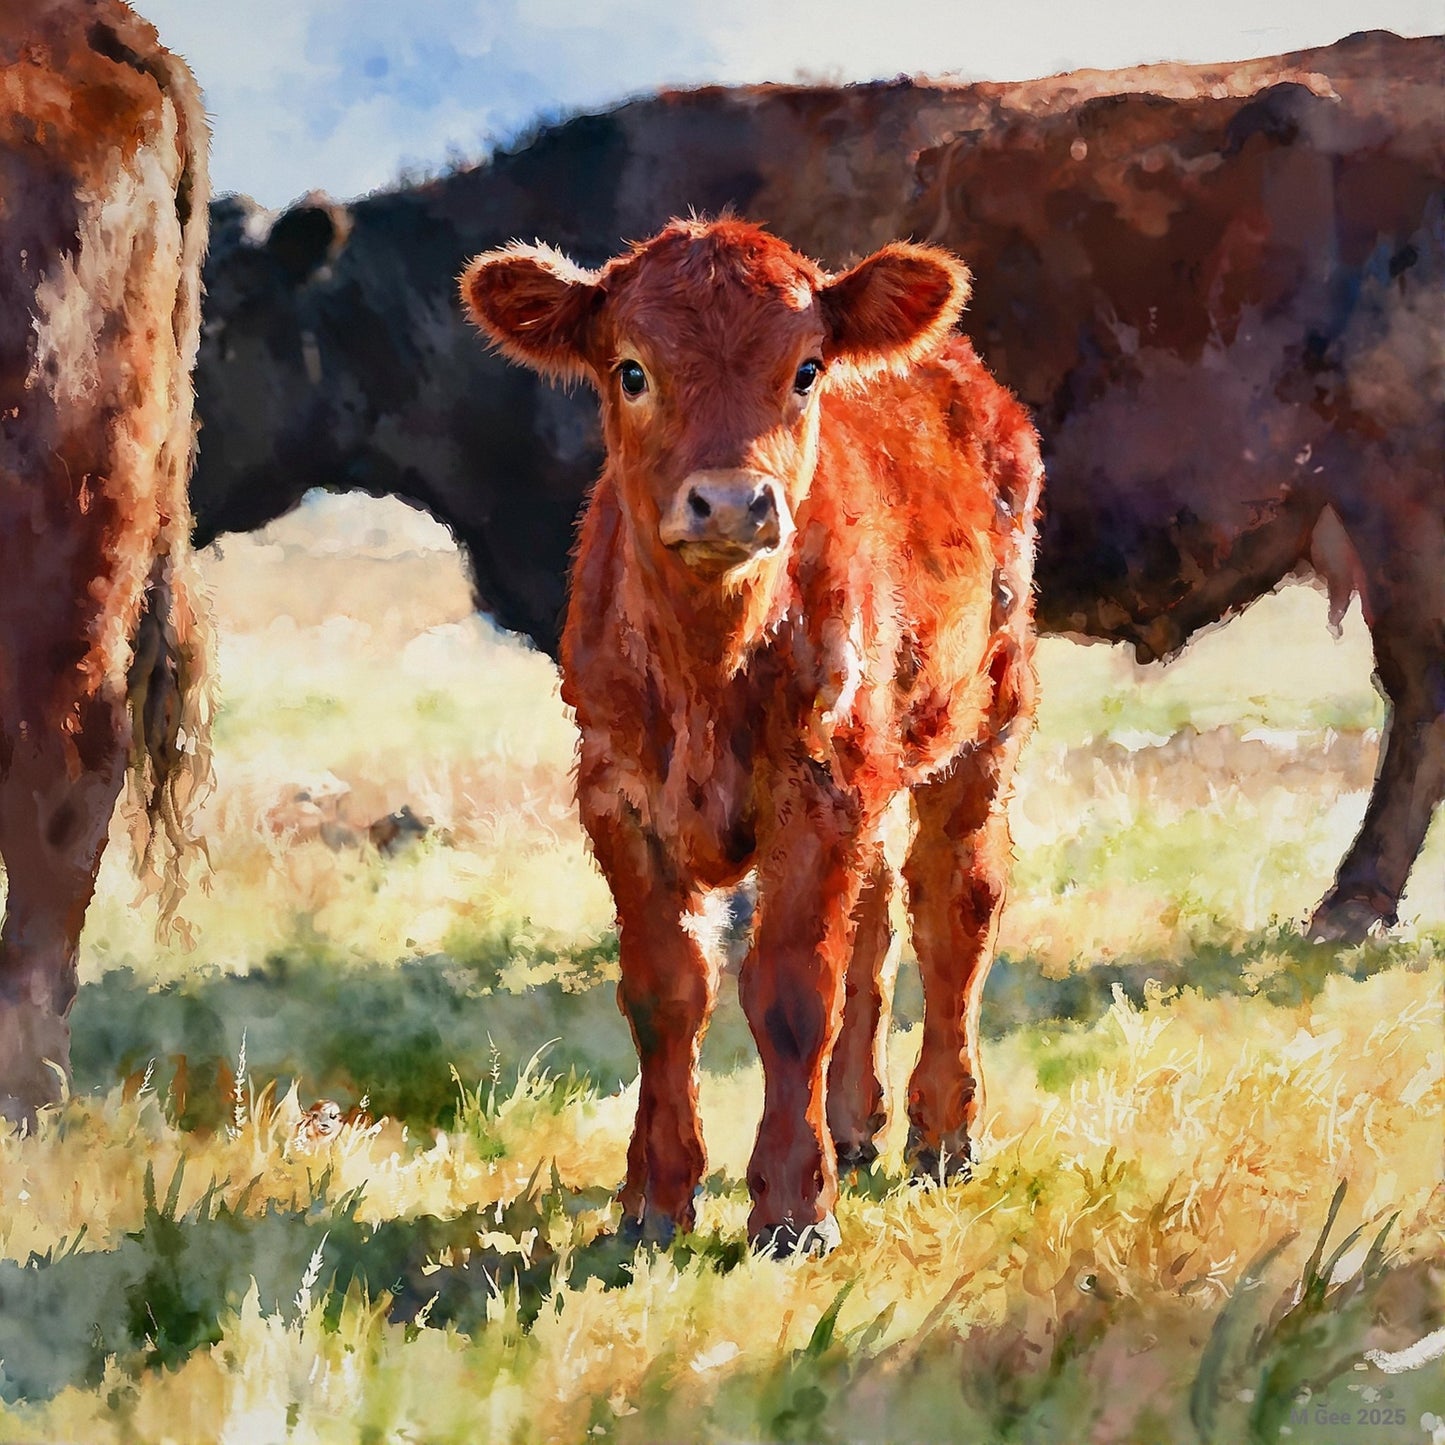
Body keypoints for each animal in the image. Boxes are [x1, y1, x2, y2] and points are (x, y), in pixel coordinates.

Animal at [462, 218, 1043, 1254]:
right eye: (631, 369)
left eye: (806, 369)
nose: (731, 503)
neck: (707, 668)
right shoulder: (615, 792)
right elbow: (665, 990)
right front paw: (653, 1200)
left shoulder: (818, 788)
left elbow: (790, 990)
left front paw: (792, 1206)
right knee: (878, 920)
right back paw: (854, 1123)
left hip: (988, 720)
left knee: (956, 906)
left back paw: (942, 1133)